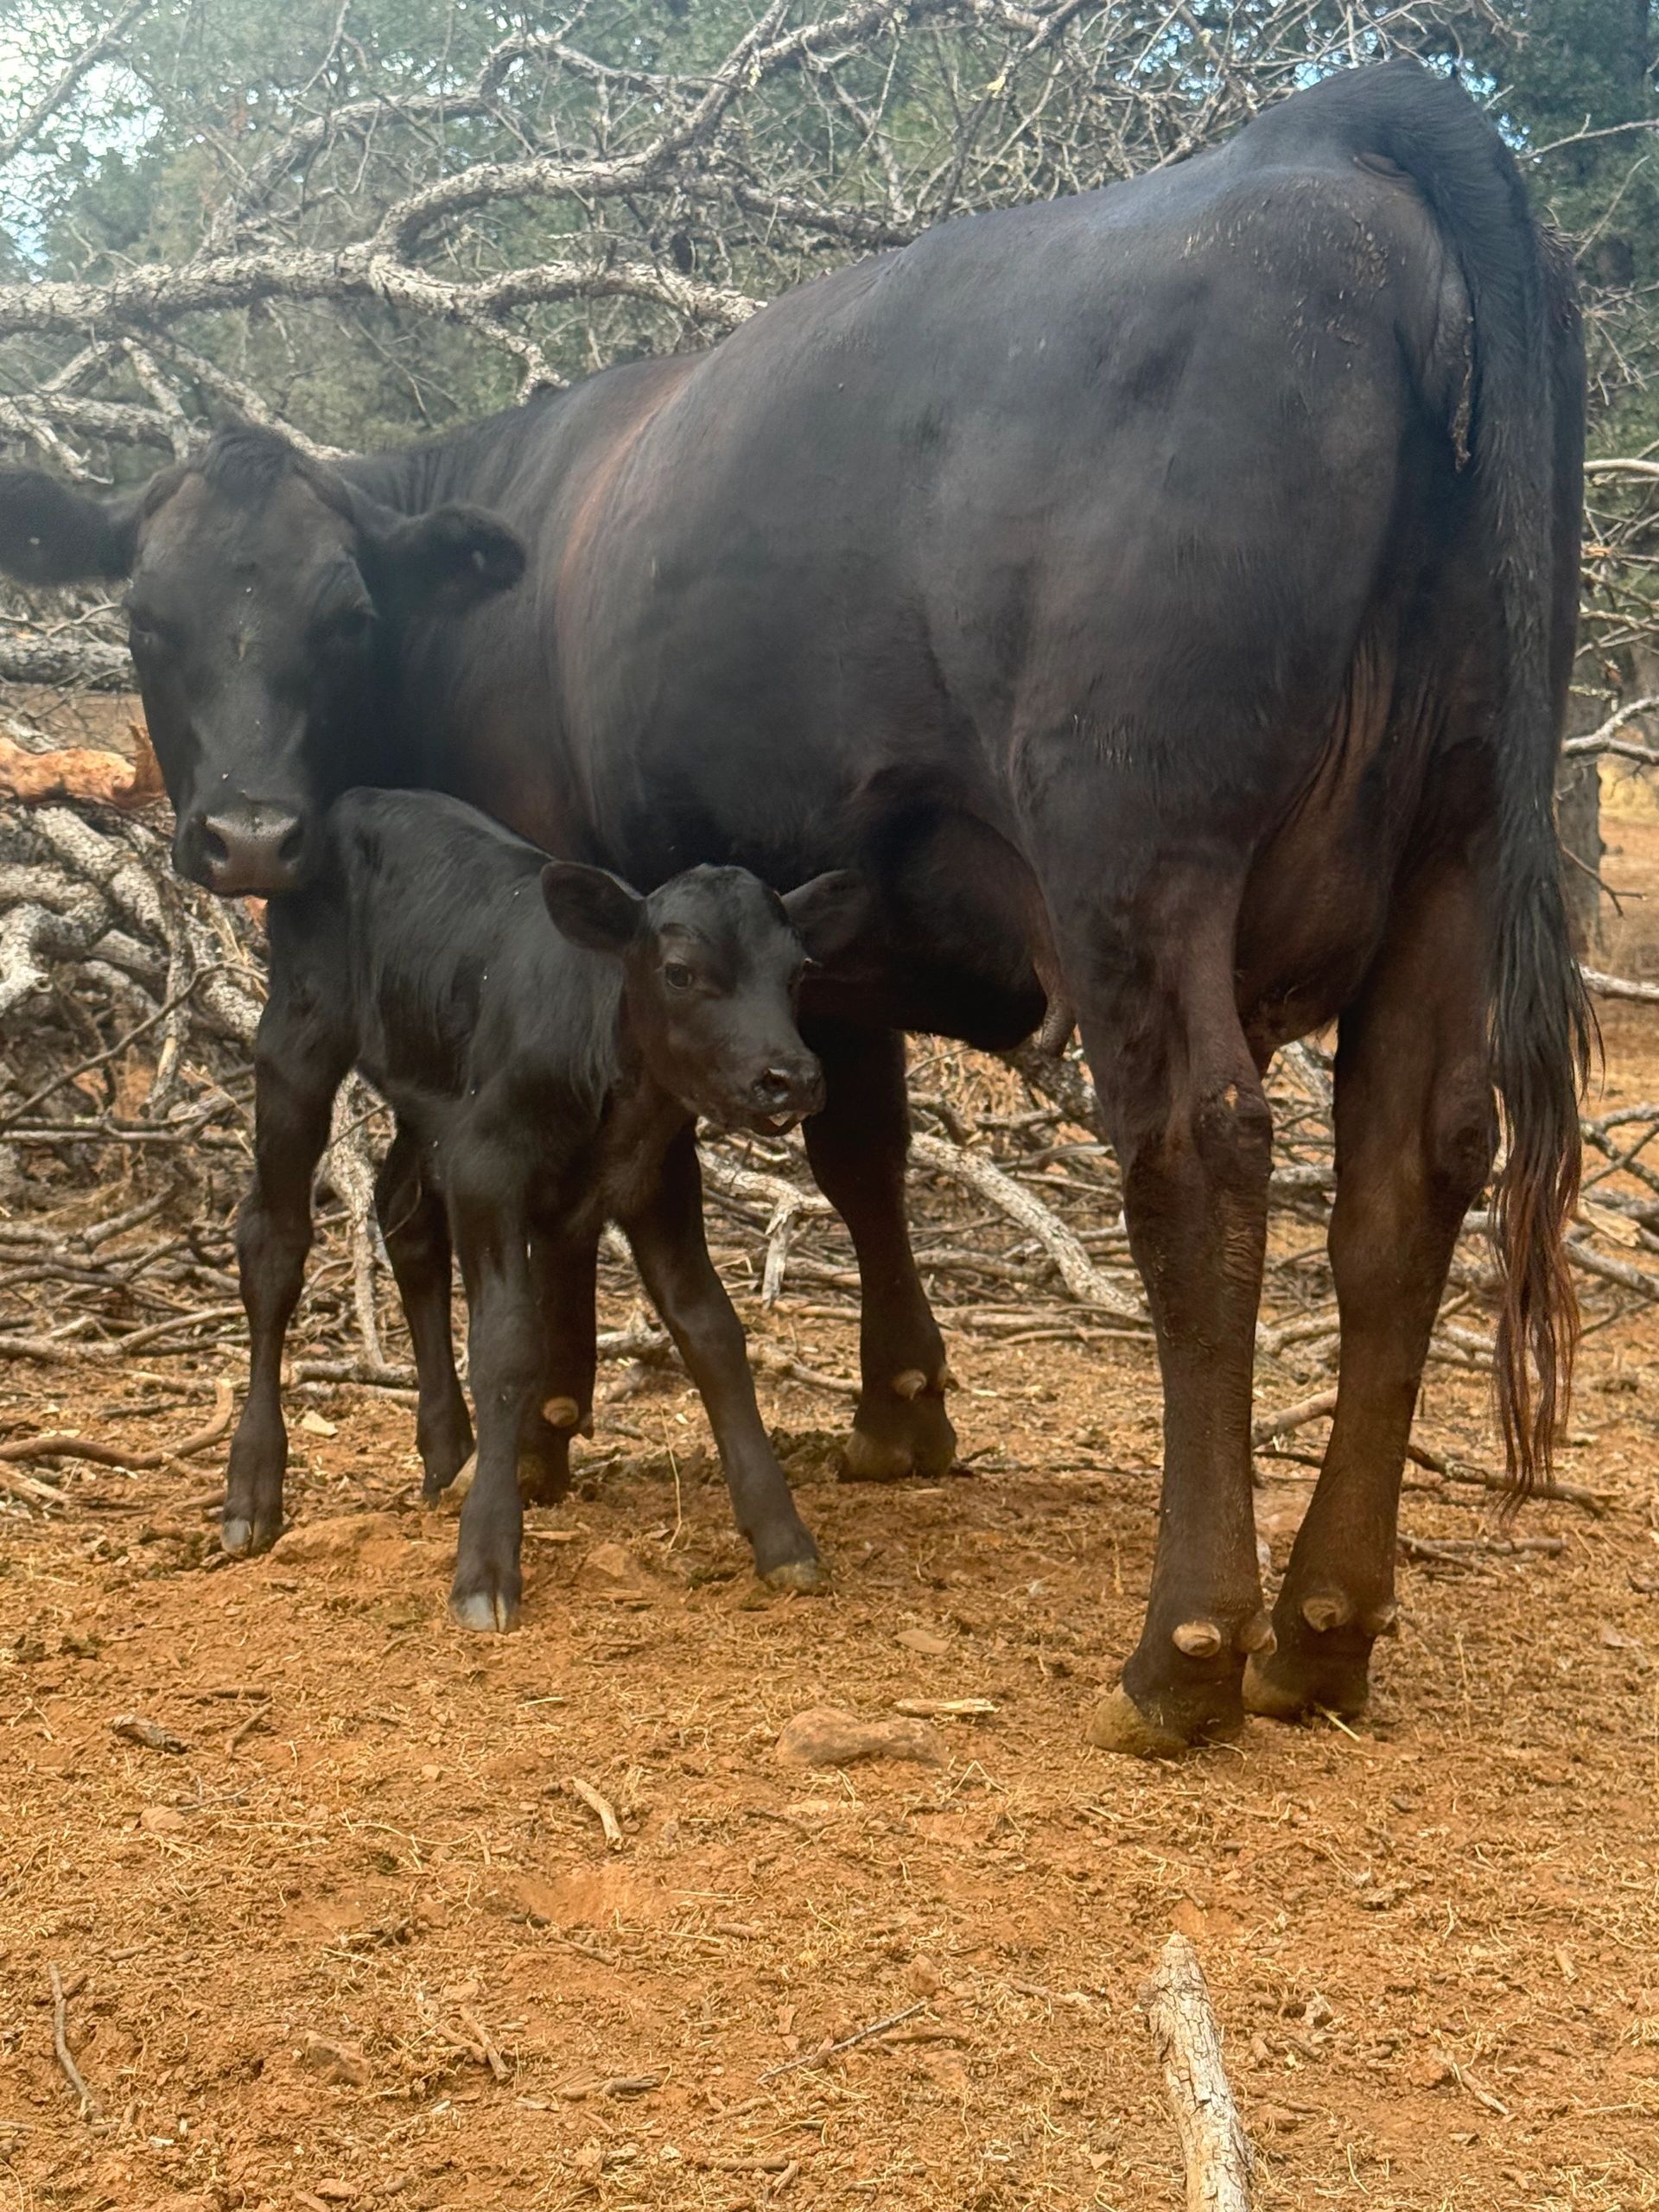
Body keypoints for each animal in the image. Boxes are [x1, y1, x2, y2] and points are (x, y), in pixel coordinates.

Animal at [228, 784, 860, 1626]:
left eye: (797, 971)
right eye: (680, 972)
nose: (790, 1077)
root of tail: (359, 795)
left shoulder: (658, 1179)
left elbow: (713, 1333)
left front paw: (782, 1535)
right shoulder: (489, 1167)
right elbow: (506, 1345)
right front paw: (486, 1562)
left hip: (431, 1100)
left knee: (405, 1218)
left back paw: (447, 1454)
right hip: (297, 1038)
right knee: (274, 1241)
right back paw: (252, 1489)